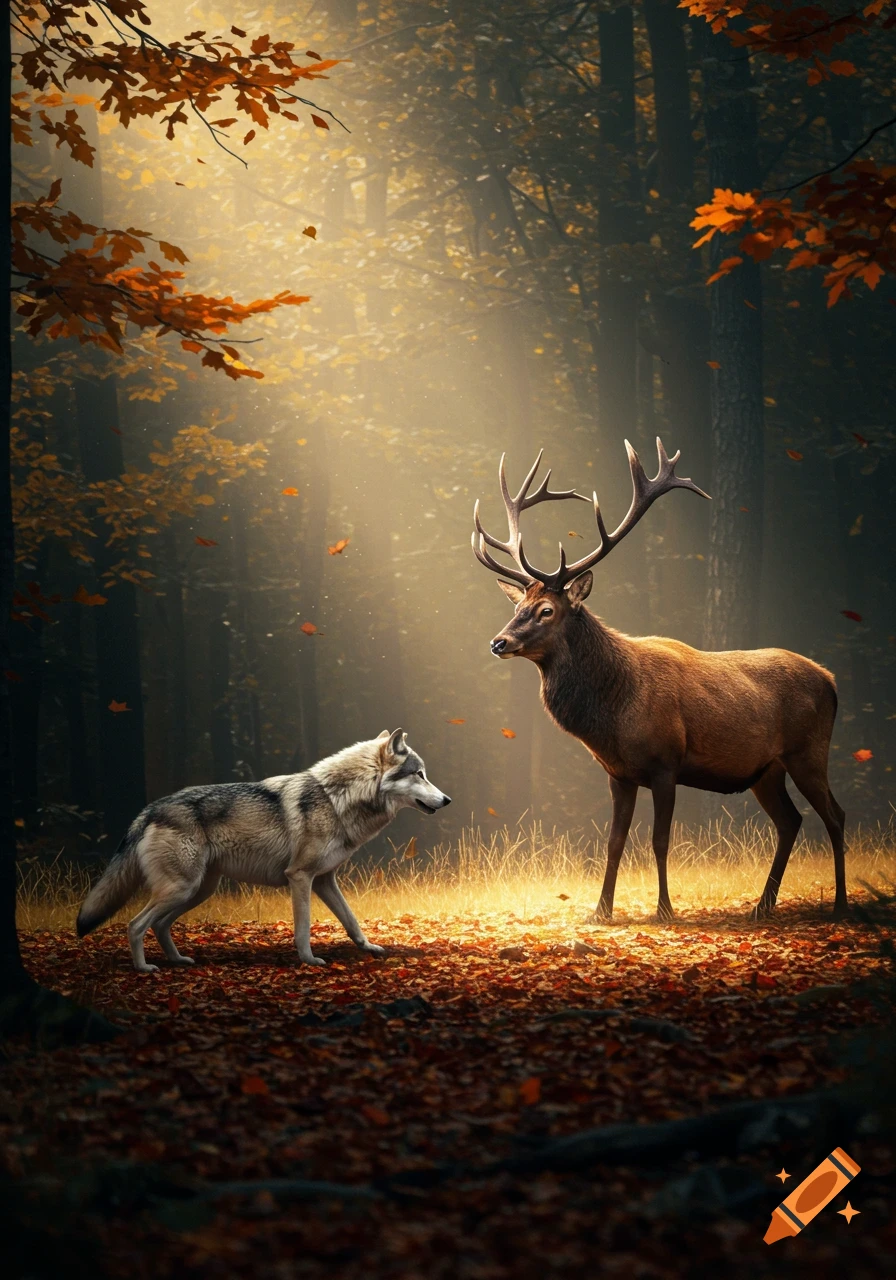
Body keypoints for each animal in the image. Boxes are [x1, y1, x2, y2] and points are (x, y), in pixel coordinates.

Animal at [76, 729, 451, 973]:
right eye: (419, 775)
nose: (447, 800)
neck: (336, 799)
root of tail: (148, 809)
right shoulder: (300, 877)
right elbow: (303, 927)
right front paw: (309, 961)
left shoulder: (325, 880)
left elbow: (352, 921)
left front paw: (369, 948)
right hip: (183, 889)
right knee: (135, 924)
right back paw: (144, 969)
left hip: (197, 891)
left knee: (158, 925)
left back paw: (178, 961)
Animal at [472, 438, 847, 923]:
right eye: (518, 606)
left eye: (546, 611)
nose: (498, 642)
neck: (613, 715)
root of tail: (832, 680)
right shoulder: (618, 773)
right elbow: (613, 843)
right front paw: (601, 911)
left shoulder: (666, 763)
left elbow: (660, 841)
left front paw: (665, 910)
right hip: (767, 770)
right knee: (791, 821)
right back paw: (762, 906)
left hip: (808, 751)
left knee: (834, 815)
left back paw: (839, 904)